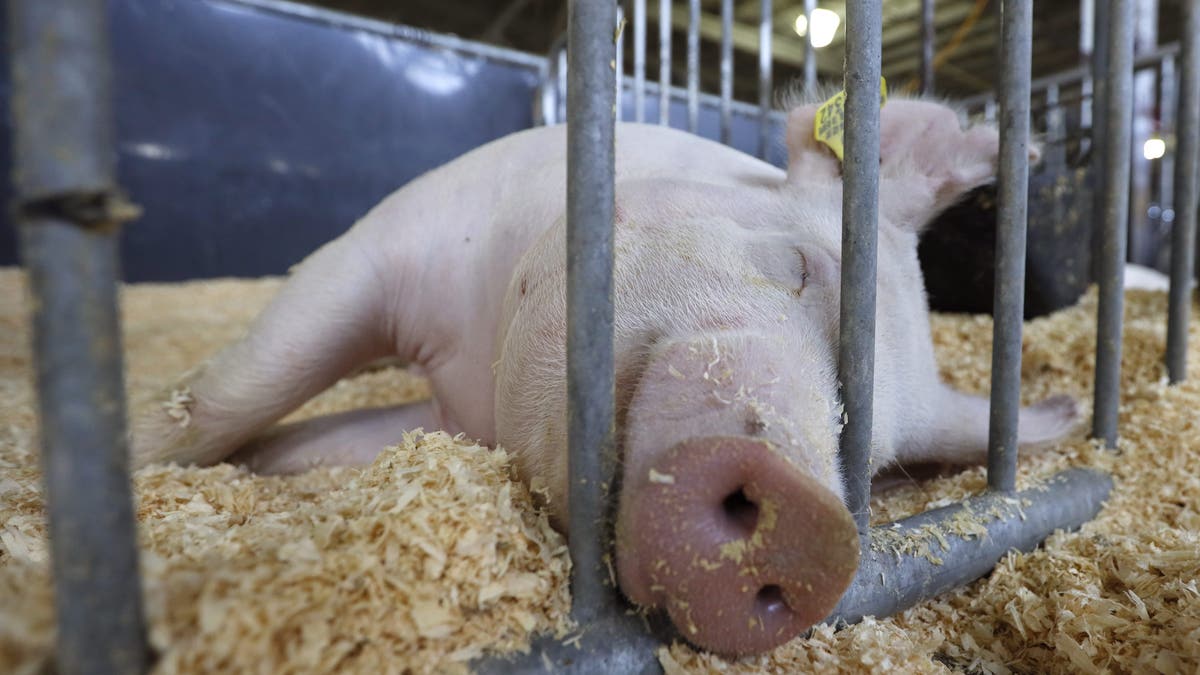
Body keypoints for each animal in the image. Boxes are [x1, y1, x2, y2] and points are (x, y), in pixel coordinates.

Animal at [131, 91, 1080, 653]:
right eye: (798, 266)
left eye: (869, 458)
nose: (807, 521)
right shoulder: (393, 238)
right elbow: (239, 387)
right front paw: (130, 444)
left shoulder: (444, 420)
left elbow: (309, 443)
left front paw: (265, 463)